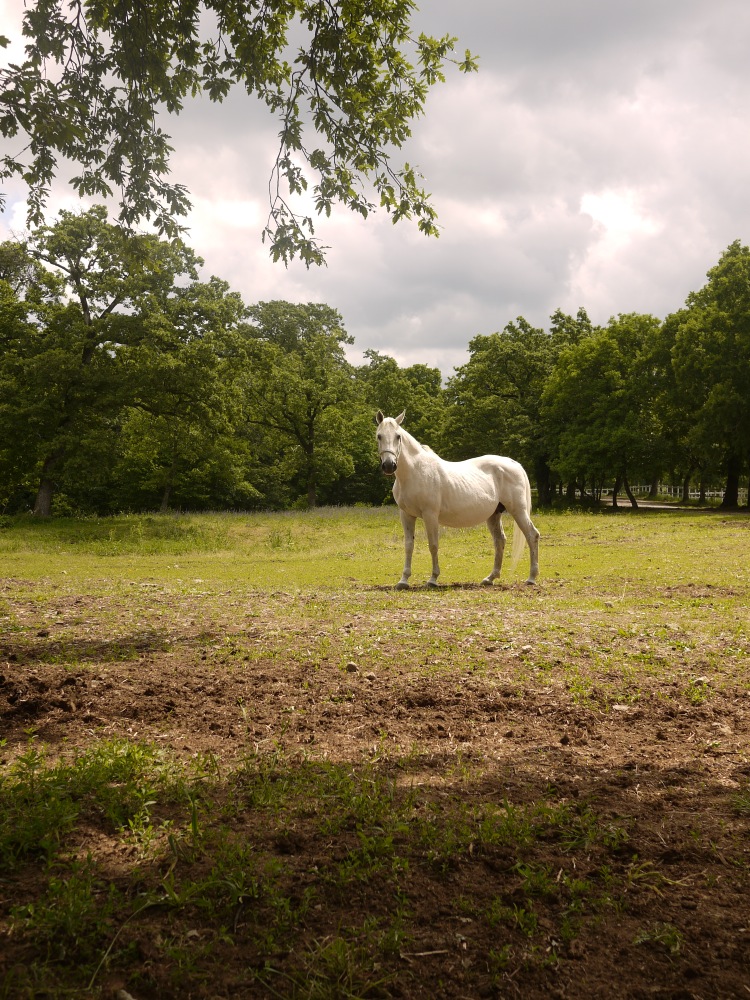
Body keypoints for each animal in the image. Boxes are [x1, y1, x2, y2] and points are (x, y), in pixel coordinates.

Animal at [376, 412, 540, 588]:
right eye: (379, 436)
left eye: (398, 436)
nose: (389, 465)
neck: (415, 471)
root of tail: (514, 463)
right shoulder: (406, 515)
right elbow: (408, 545)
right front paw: (403, 580)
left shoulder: (430, 515)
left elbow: (433, 545)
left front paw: (433, 579)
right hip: (494, 515)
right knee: (499, 541)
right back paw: (490, 578)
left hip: (518, 510)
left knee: (532, 535)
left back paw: (531, 578)